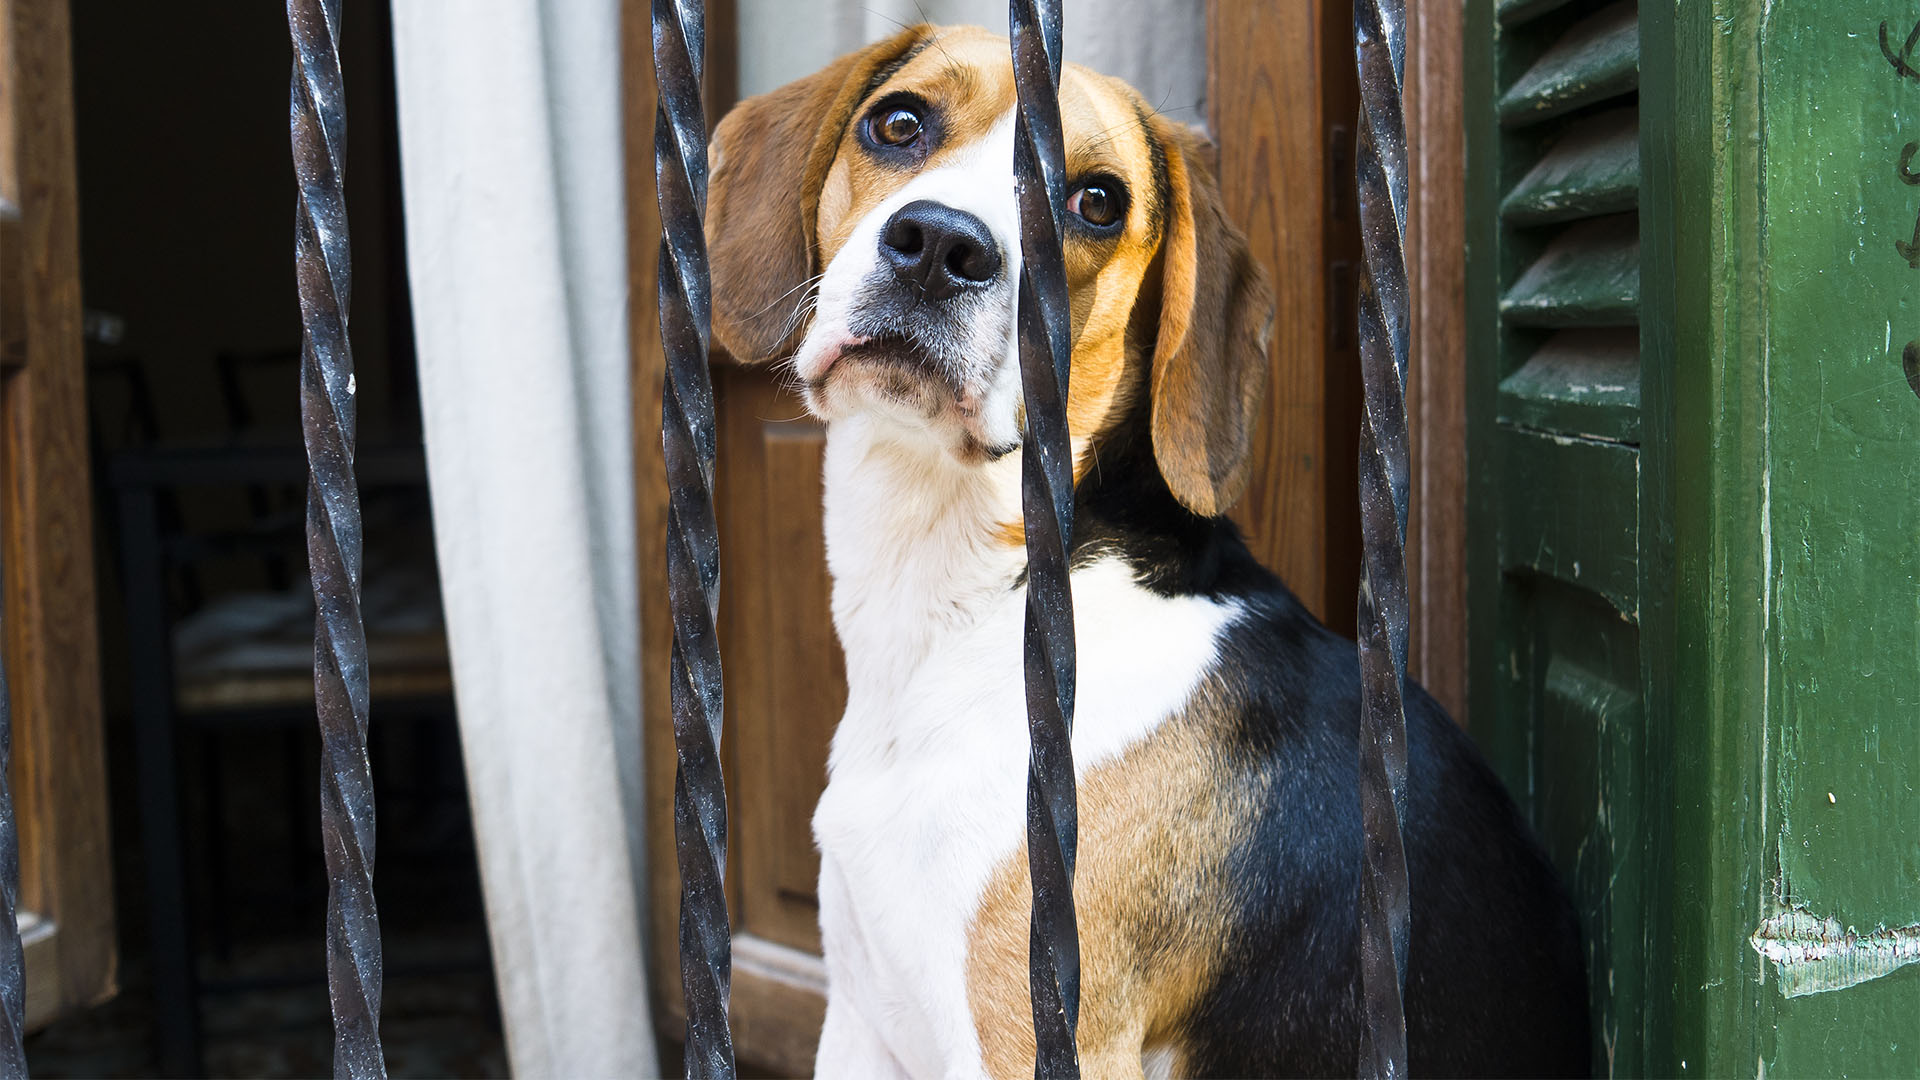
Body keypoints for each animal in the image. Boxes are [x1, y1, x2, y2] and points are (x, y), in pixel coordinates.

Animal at [706, 21, 1589, 1068]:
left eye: (1095, 202)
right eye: (898, 122)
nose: (940, 247)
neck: (977, 597)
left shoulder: (1028, 1038)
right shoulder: (860, 1020)